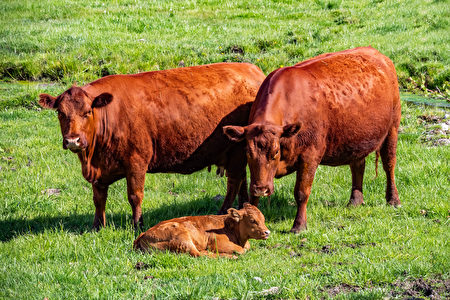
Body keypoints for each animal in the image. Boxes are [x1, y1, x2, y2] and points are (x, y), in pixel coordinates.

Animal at [38, 62, 266, 229]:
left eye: (87, 112)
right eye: (60, 113)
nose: (73, 140)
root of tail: (252, 69)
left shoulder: (137, 162)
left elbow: (135, 196)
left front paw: (137, 224)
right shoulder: (99, 170)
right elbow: (98, 198)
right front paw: (97, 226)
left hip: (235, 151)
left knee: (234, 181)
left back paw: (222, 212)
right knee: (241, 180)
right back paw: (241, 207)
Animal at [132, 202, 268, 258]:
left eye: (264, 219)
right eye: (252, 220)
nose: (267, 232)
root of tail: (143, 234)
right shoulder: (218, 242)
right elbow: (241, 250)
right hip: (182, 238)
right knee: (198, 254)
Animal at [223, 47, 402, 234]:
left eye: (275, 152)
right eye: (248, 153)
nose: (261, 189)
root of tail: (376, 53)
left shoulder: (310, 156)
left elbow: (301, 192)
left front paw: (299, 225)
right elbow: (253, 197)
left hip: (392, 129)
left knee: (389, 164)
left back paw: (393, 199)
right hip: (356, 138)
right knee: (358, 166)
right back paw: (355, 200)